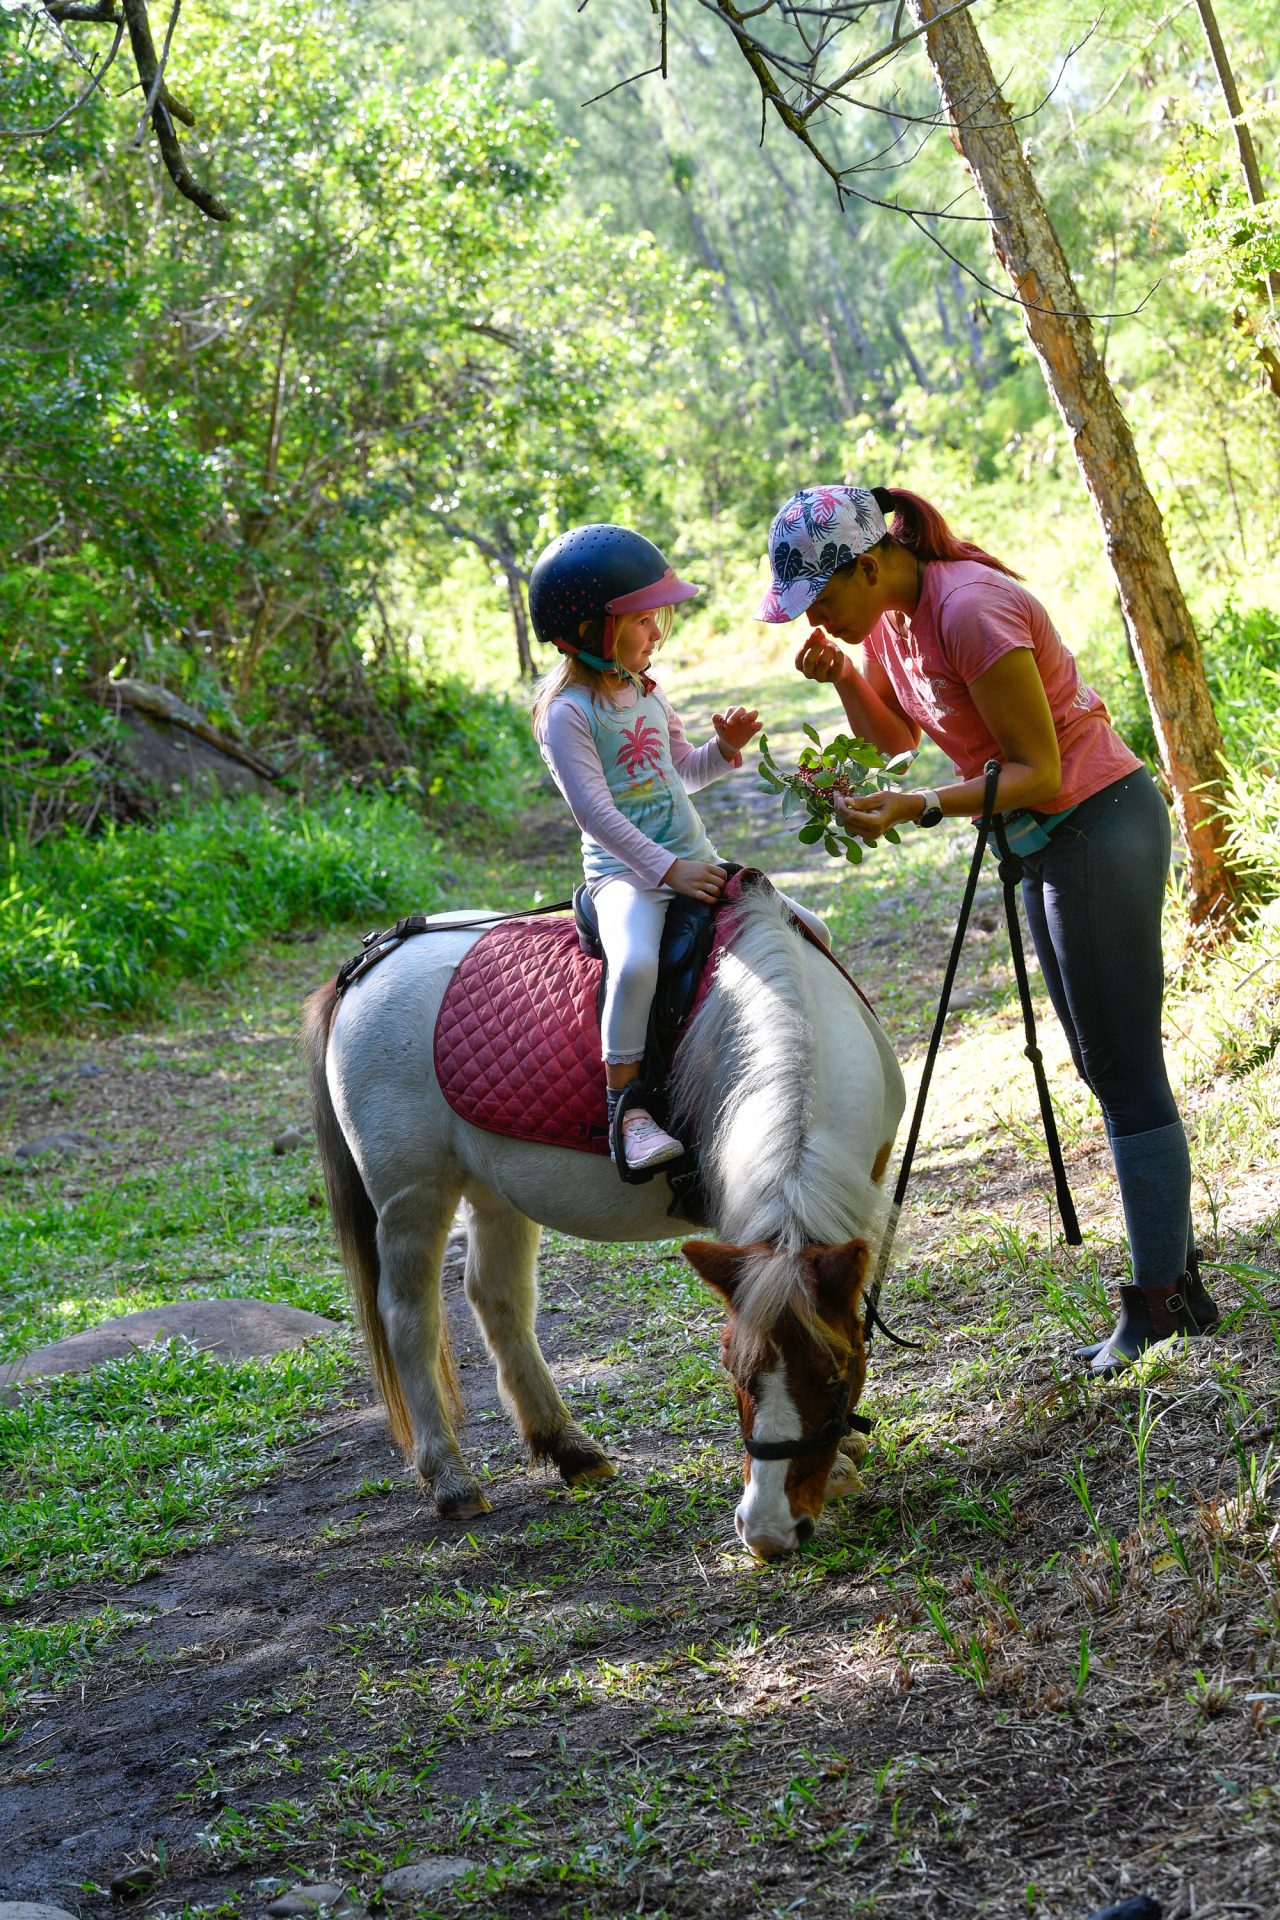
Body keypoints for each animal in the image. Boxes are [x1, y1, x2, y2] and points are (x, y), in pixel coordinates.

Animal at [301, 883, 905, 1559]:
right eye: (732, 1371)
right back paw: (452, 1480)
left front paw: (845, 1447)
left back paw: (568, 1448)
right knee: (410, 1320)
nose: (768, 1531)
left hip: (495, 1188)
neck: (795, 1014)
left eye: (834, 1376)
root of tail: (367, 964)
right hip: (411, 1196)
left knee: (495, 1296)